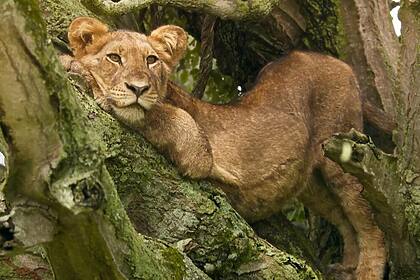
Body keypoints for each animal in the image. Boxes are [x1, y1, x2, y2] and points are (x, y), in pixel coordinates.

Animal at [60, 17, 386, 278]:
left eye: (151, 60)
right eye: (114, 57)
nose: (139, 88)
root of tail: (341, 64)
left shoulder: (197, 151)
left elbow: (162, 116)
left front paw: (81, 74)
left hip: (341, 153)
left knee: (371, 225)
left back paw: (365, 271)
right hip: (311, 183)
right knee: (343, 218)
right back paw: (346, 265)